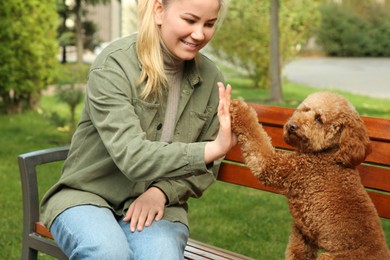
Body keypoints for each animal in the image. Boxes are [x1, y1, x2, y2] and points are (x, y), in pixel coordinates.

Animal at [230, 92, 388, 258]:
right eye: (305, 109)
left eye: (319, 119)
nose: (292, 126)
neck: (327, 152)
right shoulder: (303, 234)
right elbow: (296, 252)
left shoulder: (277, 166)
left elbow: (256, 138)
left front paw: (239, 107)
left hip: (331, 257)